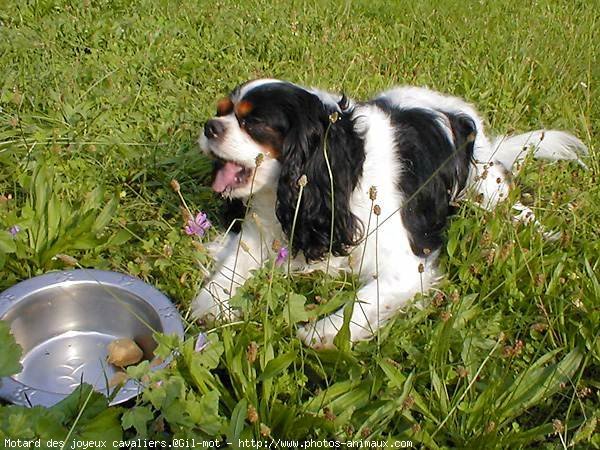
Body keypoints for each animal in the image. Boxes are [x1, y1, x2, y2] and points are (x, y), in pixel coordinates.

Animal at [192, 79, 584, 346]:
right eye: (221, 110)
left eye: (253, 123)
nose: (209, 126)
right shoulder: (260, 233)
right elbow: (231, 269)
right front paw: (210, 303)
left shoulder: (407, 268)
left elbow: (363, 301)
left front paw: (322, 332)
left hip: (483, 182)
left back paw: (541, 229)